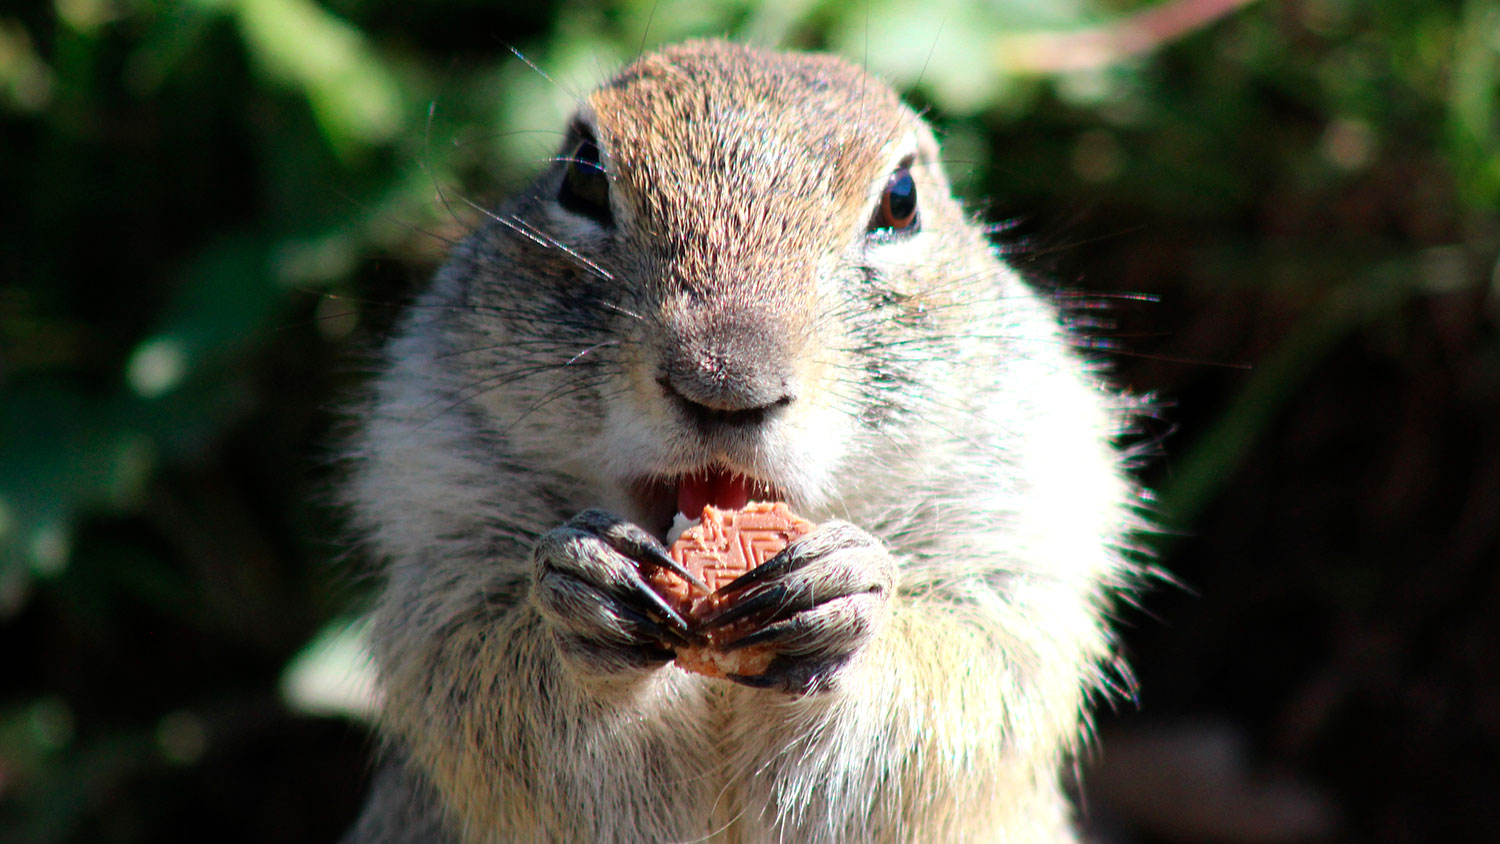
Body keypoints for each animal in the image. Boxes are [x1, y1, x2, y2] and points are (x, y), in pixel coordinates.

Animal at [337, 38, 1134, 844]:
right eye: (583, 175)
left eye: (903, 200)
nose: (724, 382)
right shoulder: (445, 533)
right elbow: (492, 682)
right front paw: (581, 585)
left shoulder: (1015, 539)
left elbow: (958, 685)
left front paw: (850, 596)